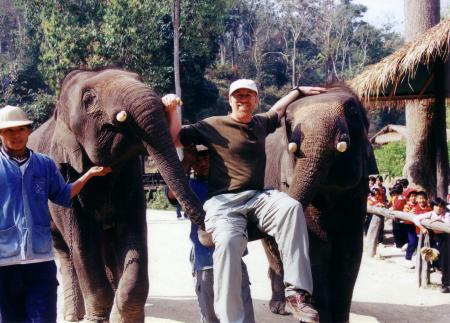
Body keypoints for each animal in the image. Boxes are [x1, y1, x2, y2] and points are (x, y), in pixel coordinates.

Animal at [26, 67, 204, 322]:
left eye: (140, 79)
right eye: (89, 99)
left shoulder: (130, 177)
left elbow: (133, 235)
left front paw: (122, 316)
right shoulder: (65, 174)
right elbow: (83, 244)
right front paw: (98, 317)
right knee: (65, 250)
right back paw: (73, 315)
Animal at [264, 85, 376, 322]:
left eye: (353, 112)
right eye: (288, 121)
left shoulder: (358, 193)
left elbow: (350, 252)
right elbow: (316, 249)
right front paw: (315, 316)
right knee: (273, 252)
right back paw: (282, 307)